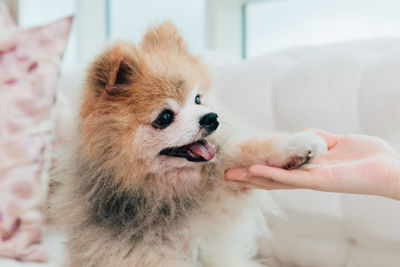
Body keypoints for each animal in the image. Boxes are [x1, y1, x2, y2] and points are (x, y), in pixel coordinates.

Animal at [48, 23, 326, 267]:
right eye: (165, 117)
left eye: (198, 99)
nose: (212, 118)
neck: (165, 196)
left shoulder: (219, 182)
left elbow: (247, 148)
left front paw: (299, 145)